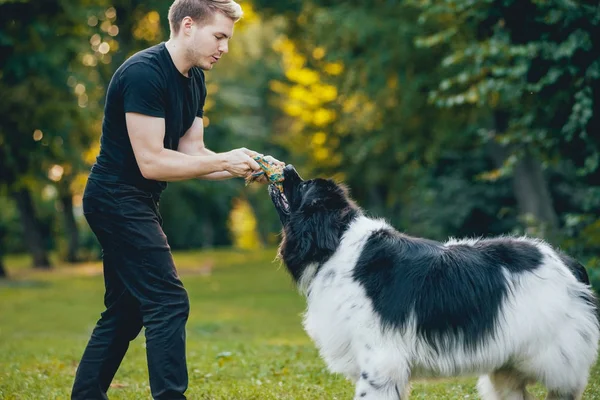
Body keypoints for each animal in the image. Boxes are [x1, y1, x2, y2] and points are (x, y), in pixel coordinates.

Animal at [270, 165, 600, 400]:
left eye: (303, 186)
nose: (287, 167)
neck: (337, 243)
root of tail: (566, 262)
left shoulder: (380, 358)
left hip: (558, 359)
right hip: (508, 367)